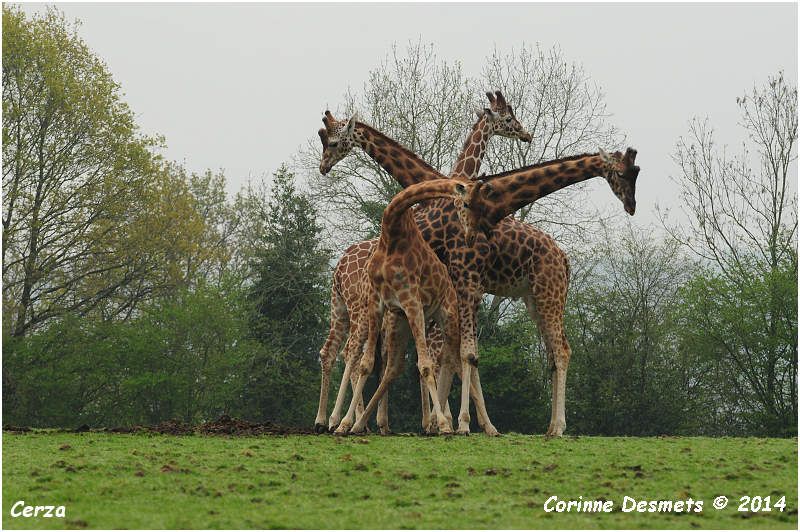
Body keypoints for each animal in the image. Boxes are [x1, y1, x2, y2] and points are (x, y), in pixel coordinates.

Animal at [332, 179, 482, 436]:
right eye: (466, 204)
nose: (471, 237)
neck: (391, 233)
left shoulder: (412, 300)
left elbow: (425, 366)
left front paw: (443, 424)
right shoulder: (377, 303)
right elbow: (366, 365)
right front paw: (344, 424)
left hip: (447, 316)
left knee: (453, 359)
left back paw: (453, 423)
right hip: (399, 323)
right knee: (395, 366)